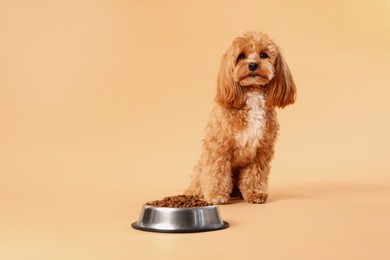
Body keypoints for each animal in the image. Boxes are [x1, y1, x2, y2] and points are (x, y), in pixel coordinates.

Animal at [185, 31, 296, 205]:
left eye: (263, 55)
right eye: (241, 56)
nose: (252, 65)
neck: (252, 94)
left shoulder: (261, 150)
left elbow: (255, 174)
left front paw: (254, 193)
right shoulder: (219, 147)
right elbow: (217, 171)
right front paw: (217, 195)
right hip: (200, 170)